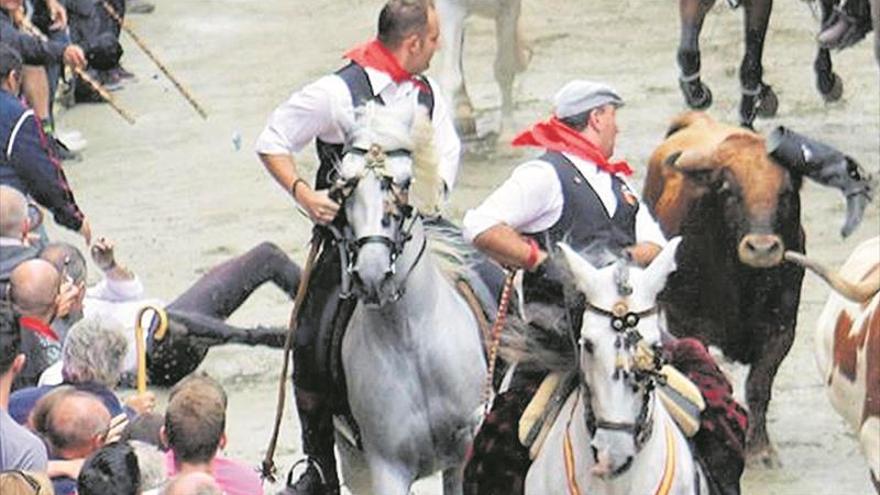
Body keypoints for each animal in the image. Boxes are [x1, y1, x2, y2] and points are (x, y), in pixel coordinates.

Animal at [330, 99, 484, 494]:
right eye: (345, 185)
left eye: (403, 181)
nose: (371, 274)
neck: (409, 339)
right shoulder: (387, 466)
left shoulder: (465, 449)